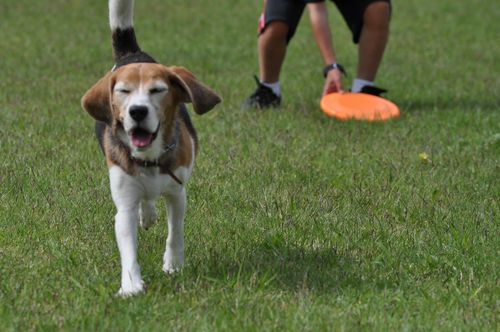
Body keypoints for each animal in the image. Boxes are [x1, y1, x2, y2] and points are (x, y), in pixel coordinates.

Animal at [82, 0, 221, 296]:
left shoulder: (178, 193)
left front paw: (173, 265)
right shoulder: (124, 205)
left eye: (157, 90)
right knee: (144, 201)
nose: (137, 111)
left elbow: (175, 233)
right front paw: (131, 285)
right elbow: (128, 249)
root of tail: (133, 54)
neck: (150, 160)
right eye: (123, 91)